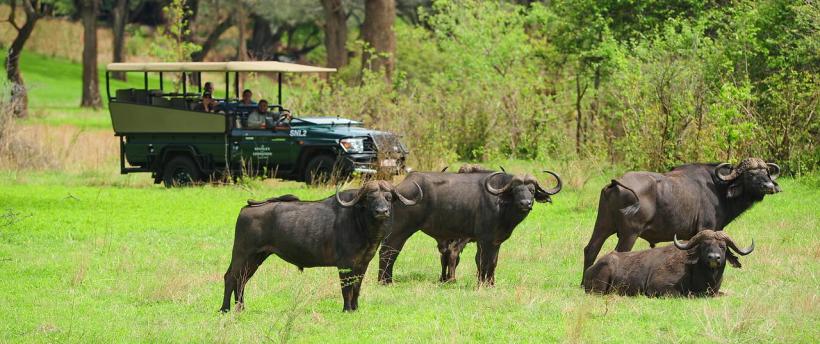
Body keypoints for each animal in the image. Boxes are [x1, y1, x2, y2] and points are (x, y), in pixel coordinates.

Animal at [219, 180, 422, 312]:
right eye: (370, 198)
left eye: (388, 197)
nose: (382, 211)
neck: (360, 223)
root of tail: (246, 209)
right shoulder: (345, 264)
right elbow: (346, 288)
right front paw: (347, 309)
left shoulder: (363, 264)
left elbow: (357, 287)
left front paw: (355, 308)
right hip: (242, 253)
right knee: (230, 277)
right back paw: (225, 309)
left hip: (256, 257)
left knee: (242, 280)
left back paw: (241, 308)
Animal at [380, 165, 564, 286]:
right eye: (516, 190)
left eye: (532, 190)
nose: (525, 203)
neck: (501, 204)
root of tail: (395, 191)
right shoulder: (483, 240)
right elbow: (482, 261)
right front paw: (481, 283)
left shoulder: (496, 241)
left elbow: (493, 262)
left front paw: (491, 283)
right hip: (400, 230)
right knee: (389, 251)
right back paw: (386, 281)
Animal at [580, 157, 780, 284]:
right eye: (751, 174)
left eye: (766, 172)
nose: (769, 186)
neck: (718, 188)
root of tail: (615, 182)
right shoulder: (705, 228)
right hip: (629, 234)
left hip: (602, 225)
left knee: (590, 249)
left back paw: (583, 282)